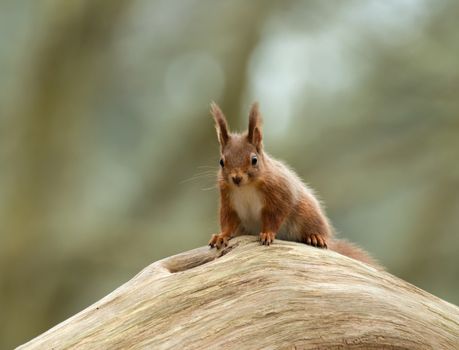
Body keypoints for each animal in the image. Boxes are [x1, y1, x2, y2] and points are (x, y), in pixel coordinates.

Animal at [208, 101, 380, 268]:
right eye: (221, 162)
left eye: (254, 160)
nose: (236, 178)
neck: (246, 187)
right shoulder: (228, 200)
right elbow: (227, 220)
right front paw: (221, 236)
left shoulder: (280, 191)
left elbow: (276, 214)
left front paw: (267, 233)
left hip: (307, 213)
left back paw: (315, 237)